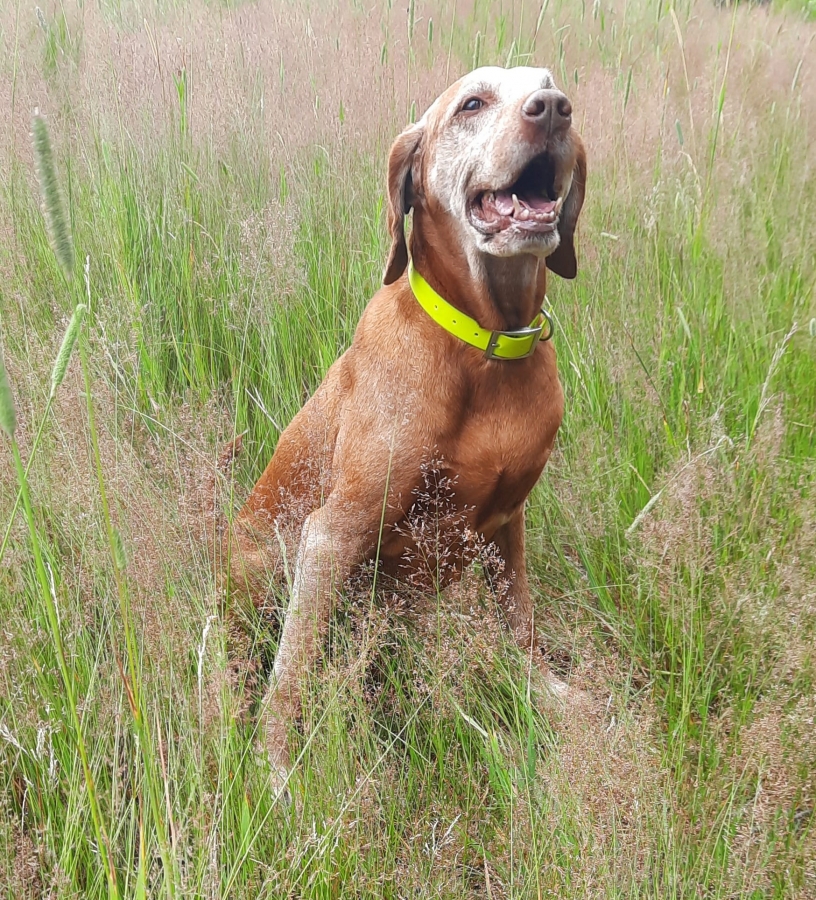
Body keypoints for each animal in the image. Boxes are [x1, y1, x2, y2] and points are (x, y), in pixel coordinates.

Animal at [227, 65, 586, 790]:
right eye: (473, 103)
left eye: (548, 83)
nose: (553, 108)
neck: (486, 348)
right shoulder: (332, 533)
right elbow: (291, 672)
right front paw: (275, 768)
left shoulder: (508, 524)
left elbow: (521, 624)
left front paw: (547, 694)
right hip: (261, 563)